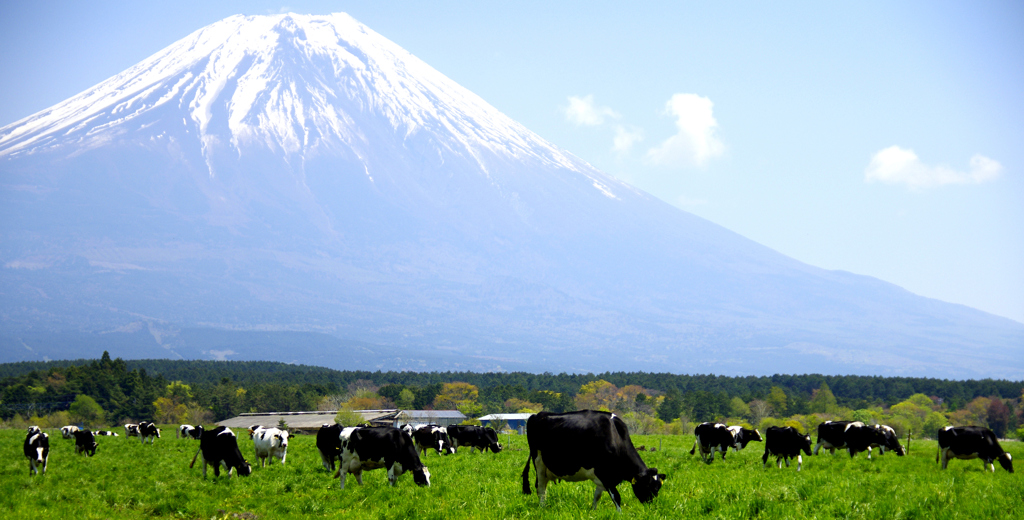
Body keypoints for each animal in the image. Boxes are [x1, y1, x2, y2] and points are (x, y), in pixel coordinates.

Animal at [520, 409, 663, 511]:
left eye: (657, 488)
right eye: (647, 486)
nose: (651, 508)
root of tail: (537, 415)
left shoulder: (602, 478)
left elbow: (597, 497)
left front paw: (593, 512)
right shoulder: (605, 474)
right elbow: (616, 497)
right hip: (539, 462)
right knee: (541, 488)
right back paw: (542, 508)